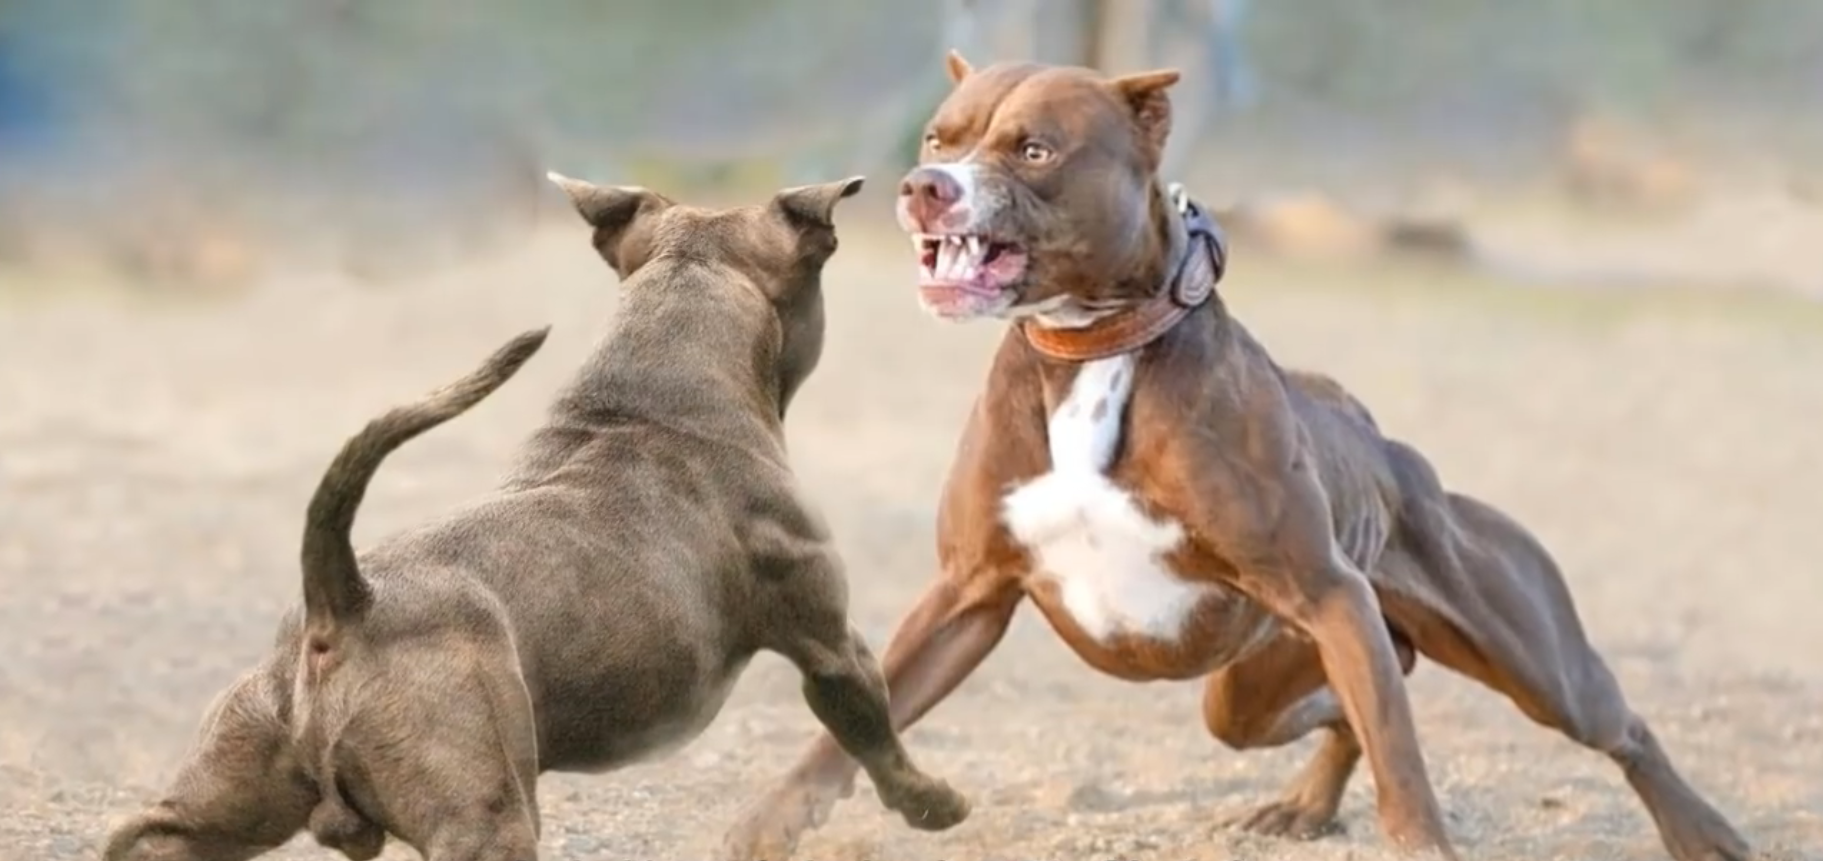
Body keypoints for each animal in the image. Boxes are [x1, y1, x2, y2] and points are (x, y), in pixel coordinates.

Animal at [104, 176, 977, 861]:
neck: (654, 392)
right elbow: (871, 733)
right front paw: (935, 803)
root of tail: (343, 600)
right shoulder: (830, 645)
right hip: (483, 818)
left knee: (148, 834)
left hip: (223, 796)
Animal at [718, 52, 1757, 861]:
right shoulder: (965, 595)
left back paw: (1703, 830)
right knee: (1354, 700)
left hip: (1519, 656)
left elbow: (1404, 763)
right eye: (940, 140)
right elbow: (855, 725)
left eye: (1033, 149)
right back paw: (1300, 805)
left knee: (1609, 724)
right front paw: (770, 820)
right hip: (1255, 687)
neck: (1089, 347)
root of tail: (1391, 453)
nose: (923, 187)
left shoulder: (1324, 588)